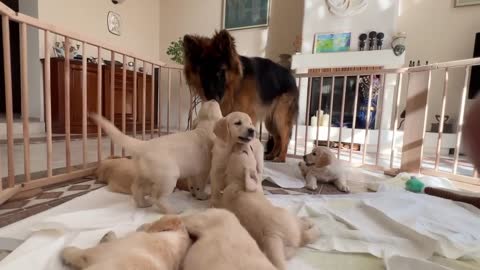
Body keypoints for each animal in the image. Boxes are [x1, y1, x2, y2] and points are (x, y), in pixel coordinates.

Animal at [90, 100, 223, 212]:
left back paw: (143, 204)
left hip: (144, 175)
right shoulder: (203, 171)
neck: (204, 128)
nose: (212, 99)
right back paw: (172, 210)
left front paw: (194, 193)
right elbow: (200, 185)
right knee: (157, 197)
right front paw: (202, 195)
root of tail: (144, 145)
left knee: (136, 188)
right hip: (168, 177)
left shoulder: (193, 171)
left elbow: (193, 184)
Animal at [183, 31, 298, 162]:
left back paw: (281, 157)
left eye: (220, 72)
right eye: (202, 74)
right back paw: (271, 155)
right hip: (271, 121)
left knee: (285, 136)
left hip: (280, 117)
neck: (234, 86)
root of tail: (290, 75)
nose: (213, 98)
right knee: (278, 138)